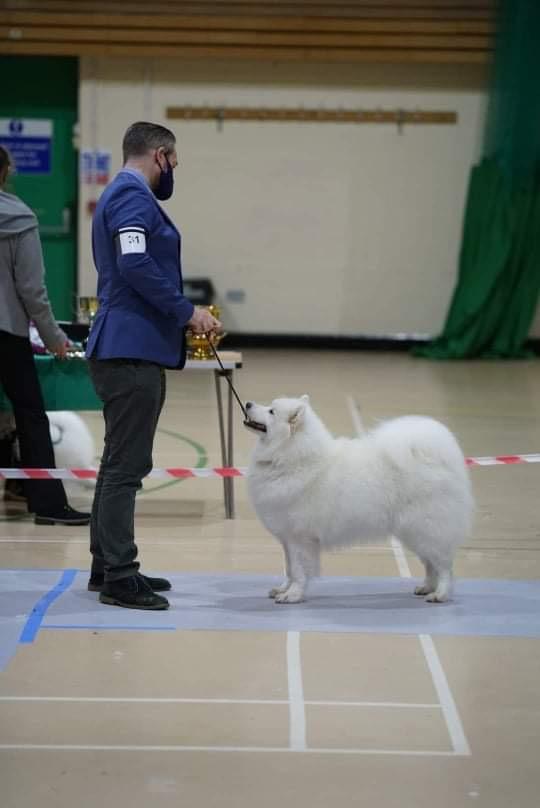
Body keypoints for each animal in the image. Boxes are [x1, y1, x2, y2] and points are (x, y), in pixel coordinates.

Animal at [245, 398, 472, 608]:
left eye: (272, 411)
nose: (247, 403)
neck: (293, 456)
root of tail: (433, 455)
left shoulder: (300, 538)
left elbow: (299, 571)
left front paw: (292, 595)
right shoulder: (287, 539)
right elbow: (289, 568)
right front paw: (282, 589)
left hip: (426, 528)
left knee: (444, 566)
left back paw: (440, 594)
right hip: (414, 533)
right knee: (430, 563)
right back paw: (426, 587)